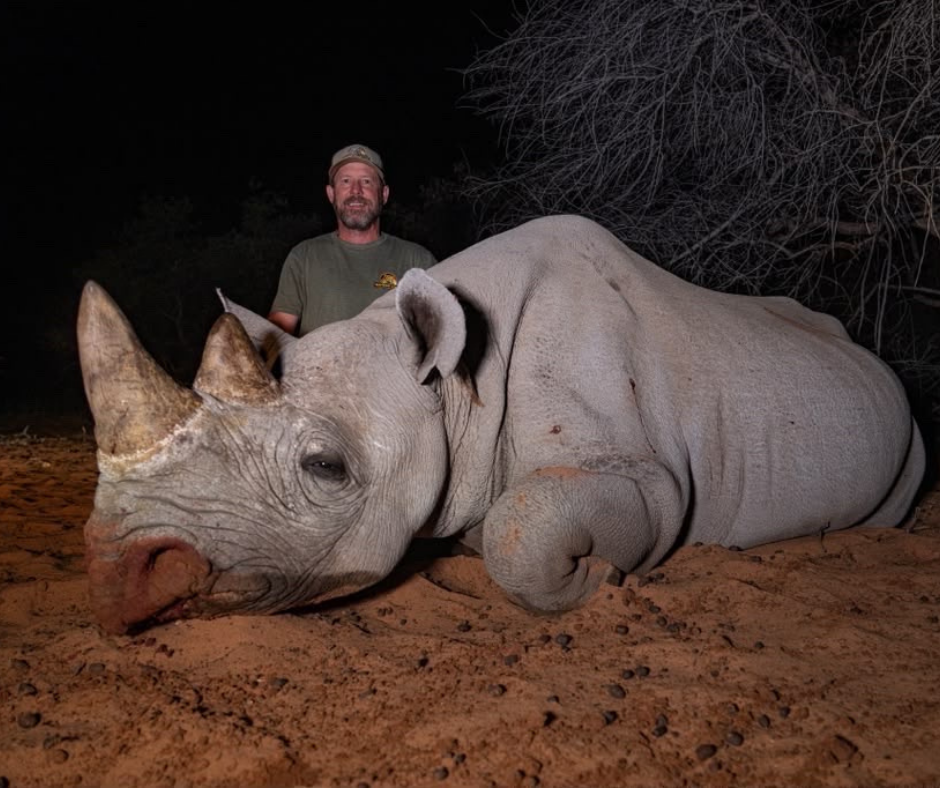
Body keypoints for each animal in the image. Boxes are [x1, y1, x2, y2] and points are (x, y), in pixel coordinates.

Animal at [78, 215, 925, 634]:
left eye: (326, 468)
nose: (115, 577)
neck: (454, 387)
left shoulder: (646, 474)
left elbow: (526, 525)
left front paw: (596, 578)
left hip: (906, 426)